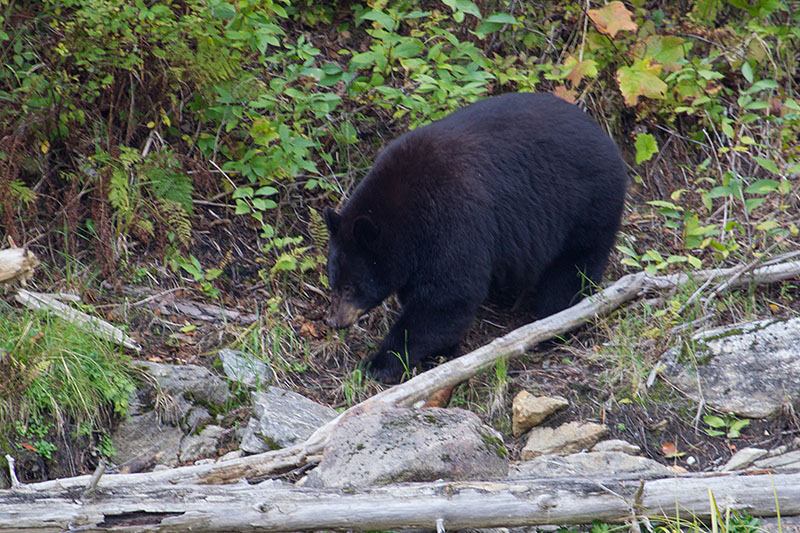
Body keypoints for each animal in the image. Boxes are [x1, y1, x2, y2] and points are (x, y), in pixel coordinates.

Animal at [322, 92, 628, 382]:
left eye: (350, 286)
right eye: (333, 282)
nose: (335, 321)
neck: (404, 215)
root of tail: (607, 139)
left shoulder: (451, 222)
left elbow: (446, 298)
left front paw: (380, 362)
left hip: (586, 204)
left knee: (574, 267)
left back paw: (555, 321)